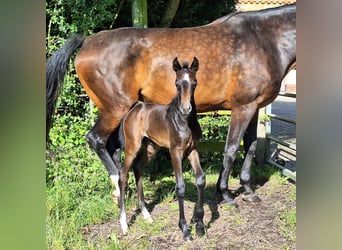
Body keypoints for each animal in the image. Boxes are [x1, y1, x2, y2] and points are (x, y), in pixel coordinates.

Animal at [46, 3, 296, 206]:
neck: (263, 39)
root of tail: (87, 41)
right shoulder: (243, 107)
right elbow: (232, 148)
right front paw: (224, 193)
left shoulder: (254, 107)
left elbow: (251, 146)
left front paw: (248, 190)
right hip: (114, 108)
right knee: (96, 139)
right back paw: (118, 187)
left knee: (113, 146)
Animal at [118, 57, 203, 241]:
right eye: (177, 83)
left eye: (194, 83)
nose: (186, 108)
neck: (185, 121)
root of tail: (135, 108)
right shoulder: (175, 151)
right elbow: (180, 187)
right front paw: (185, 230)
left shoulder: (192, 150)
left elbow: (201, 179)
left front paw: (199, 226)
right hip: (132, 146)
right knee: (123, 174)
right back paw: (123, 224)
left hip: (150, 147)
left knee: (138, 169)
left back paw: (146, 215)